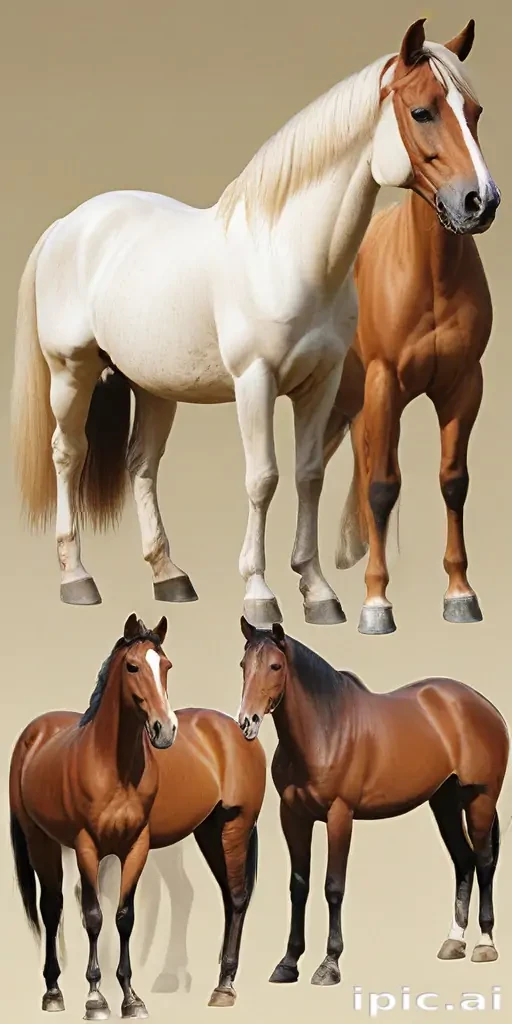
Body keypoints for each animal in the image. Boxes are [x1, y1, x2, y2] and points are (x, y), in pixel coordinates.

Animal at [9, 615, 266, 1017]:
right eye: (132, 667)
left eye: (166, 666)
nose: (165, 729)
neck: (111, 766)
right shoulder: (87, 847)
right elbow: (94, 915)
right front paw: (96, 998)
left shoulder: (136, 846)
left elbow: (123, 917)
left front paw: (130, 997)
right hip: (42, 840)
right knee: (51, 907)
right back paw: (53, 992)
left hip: (231, 826)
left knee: (236, 897)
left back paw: (223, 986)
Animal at [237, 618, 509, 987]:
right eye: (243, 665)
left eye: (275, 666)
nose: (246, 722)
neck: (325, 729)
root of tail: (483, 705)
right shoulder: (292, 815)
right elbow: (299, 886)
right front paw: (288, 963)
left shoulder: (340, 815)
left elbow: (333, 887)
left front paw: (329, 964)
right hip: (444, 803)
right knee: (464, 861)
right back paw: (454, 942)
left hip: (480, 799)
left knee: (484, 861)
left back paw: (485, 944)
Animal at [323, 184, 494, 635]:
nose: (478, 201)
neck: (431, 274)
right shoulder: (385, 382)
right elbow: (382, 487)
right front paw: (376, 603)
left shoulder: (464, 385)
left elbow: (453, 482)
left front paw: (460, 594)